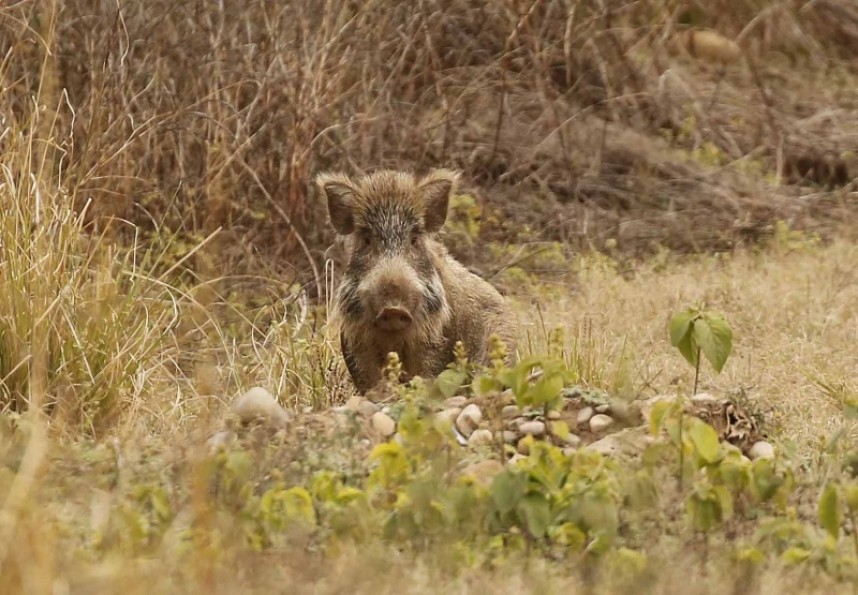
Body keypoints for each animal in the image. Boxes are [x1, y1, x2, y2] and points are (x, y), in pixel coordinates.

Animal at [315, 168, 517, 393]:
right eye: (366, 240)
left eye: (414, 240)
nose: (393, 310)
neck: (392, 339)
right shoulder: (356, 344)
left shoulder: (434, 342)